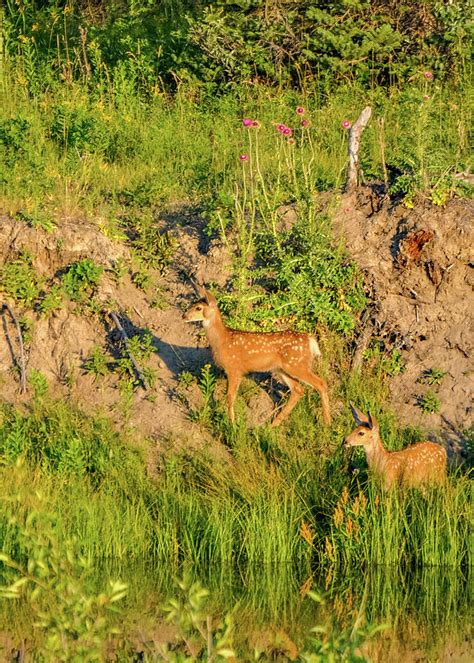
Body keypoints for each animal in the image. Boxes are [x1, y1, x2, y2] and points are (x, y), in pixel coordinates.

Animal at [183, 288, 332, 428]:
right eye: (193, 304)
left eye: (198, 308)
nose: (184, 316)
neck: (223, 341)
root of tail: (310, 341)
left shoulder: (234, 368)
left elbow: (230, 397)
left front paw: (232, 426)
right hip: (282, 368)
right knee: (298, 390)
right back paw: (273, 425)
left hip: (297, 364)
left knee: (321, 383)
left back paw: (327, 423)